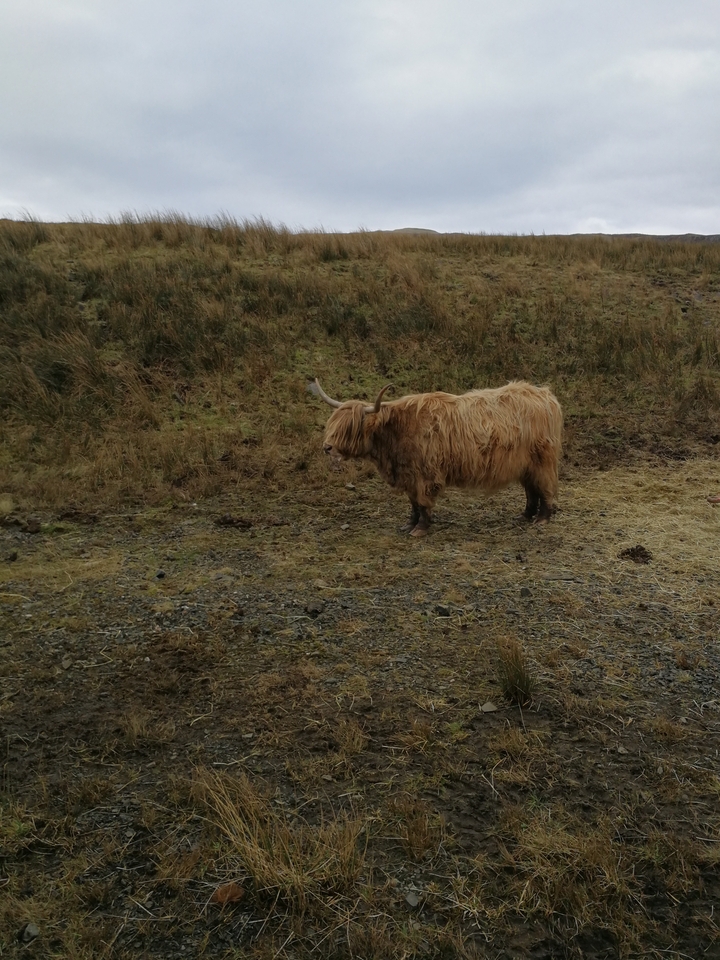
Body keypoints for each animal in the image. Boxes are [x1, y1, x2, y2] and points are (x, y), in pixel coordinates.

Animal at [308, 379, 563, 537]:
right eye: (333, 423)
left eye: (349, 427)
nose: (327, 447)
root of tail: (544, 394)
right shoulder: (408, 475)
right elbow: (413, 503)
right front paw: (408, 525)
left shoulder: (424, 475)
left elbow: (422, 503)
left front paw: (420, 529)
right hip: (524, 464)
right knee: (531, 490)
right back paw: (524, 516)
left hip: (542, 461)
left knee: (545, 488)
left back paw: (542, 519)